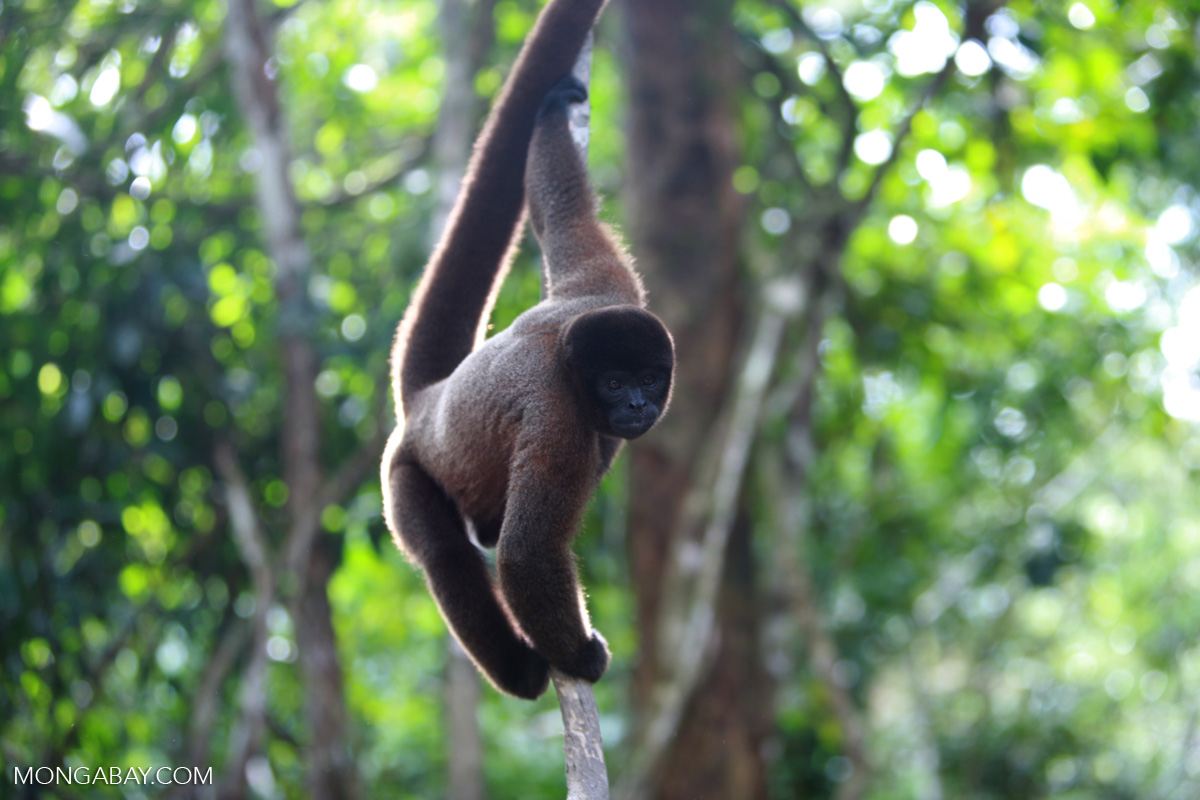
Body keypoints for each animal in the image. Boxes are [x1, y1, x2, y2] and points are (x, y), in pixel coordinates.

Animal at [380, 0, 674, 700]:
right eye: (614, 382)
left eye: (648, 378)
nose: (636, 406)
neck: (569, 349)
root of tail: (426, 402)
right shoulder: (560, 416)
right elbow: (526, 554)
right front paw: (579, 655)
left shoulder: (606, 283)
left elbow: (560, 214)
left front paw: (552, 110)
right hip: (403, 473)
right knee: (447, 556)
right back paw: (522, 670)